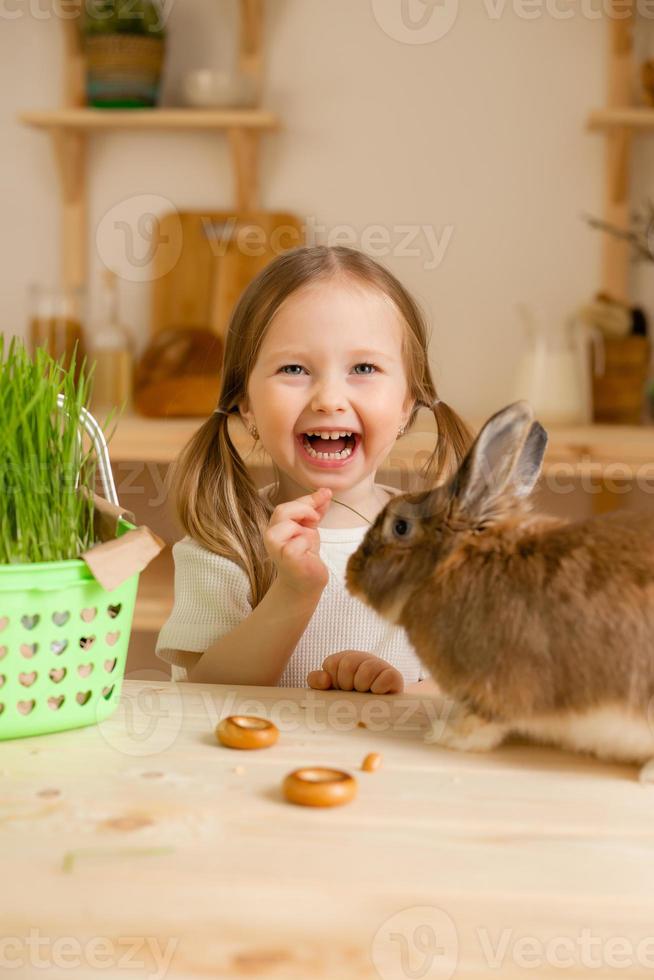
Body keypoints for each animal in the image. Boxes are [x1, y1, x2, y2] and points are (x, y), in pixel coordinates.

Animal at [346, 402, 654, 768]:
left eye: (401, 527)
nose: (350, 572)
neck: (455, 563)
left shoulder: (492, 690)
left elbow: (482, 724)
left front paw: (445, 736)